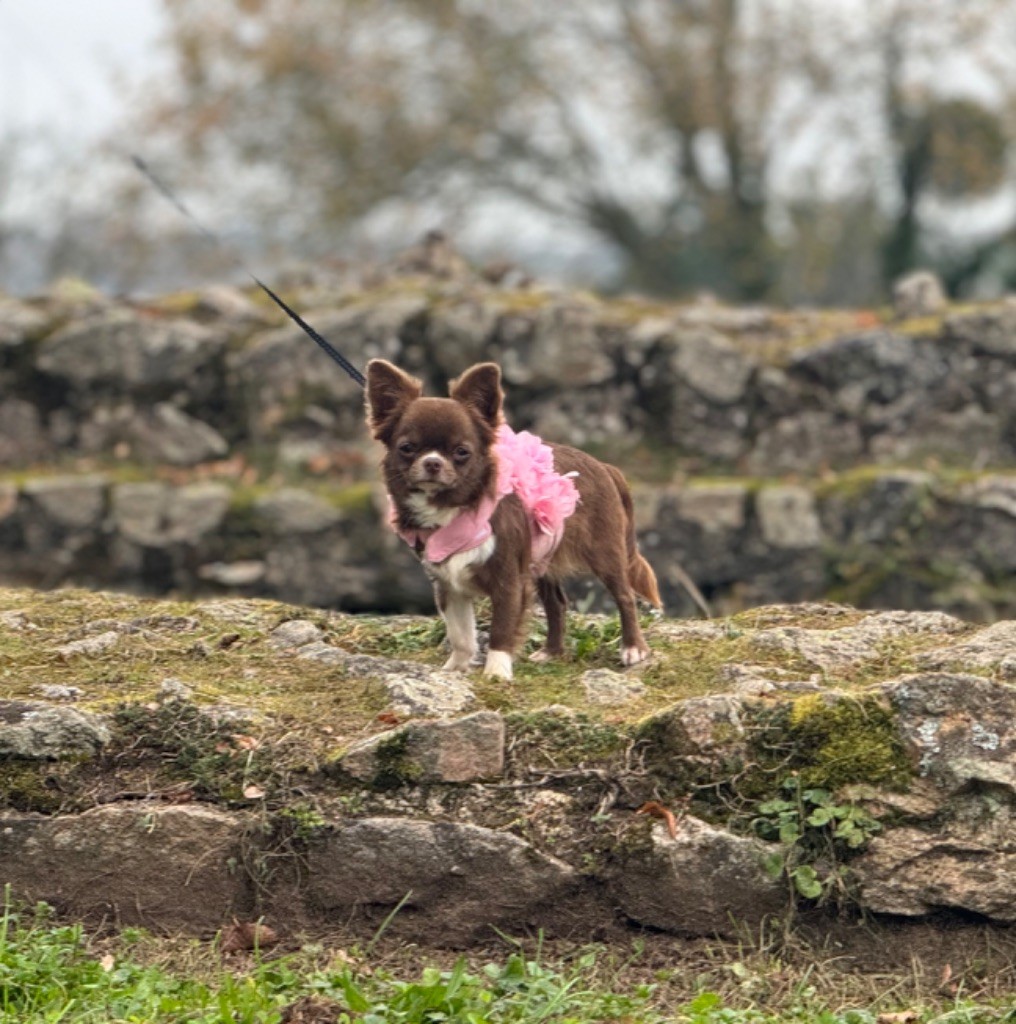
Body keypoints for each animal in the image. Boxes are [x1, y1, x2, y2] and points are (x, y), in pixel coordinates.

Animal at [362, 360, 659, 679]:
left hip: (604, 554)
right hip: (541, 560)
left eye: (461, 452)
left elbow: (501, 629)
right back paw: (551, 652)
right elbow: (460, 634)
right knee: (557, 603)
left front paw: (496, 673)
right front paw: (455, 668)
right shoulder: (448, 585)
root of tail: (604, 467)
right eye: (407, 448)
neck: (454, 510)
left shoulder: (509, 580)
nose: (432, 462)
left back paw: (633, 648)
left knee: (625, 596)